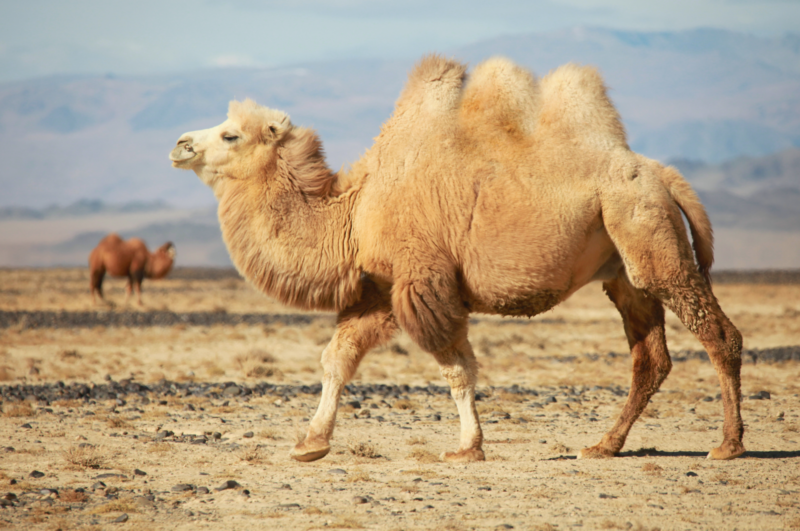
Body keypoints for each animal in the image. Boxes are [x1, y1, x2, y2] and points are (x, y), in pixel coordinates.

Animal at [170, 55, 744, 463]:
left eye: (230, 134)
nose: (179, 144)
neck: (355, 212)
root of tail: (662, 175)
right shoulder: (380, 289)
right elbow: (337, 359)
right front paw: (310, 444)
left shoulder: (423, 281)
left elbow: (456, 368)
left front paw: (468, 448)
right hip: (624, 267)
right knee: (651, 358)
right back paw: (603, 445)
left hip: (649, 235)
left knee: (718, 334)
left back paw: (728, 445)